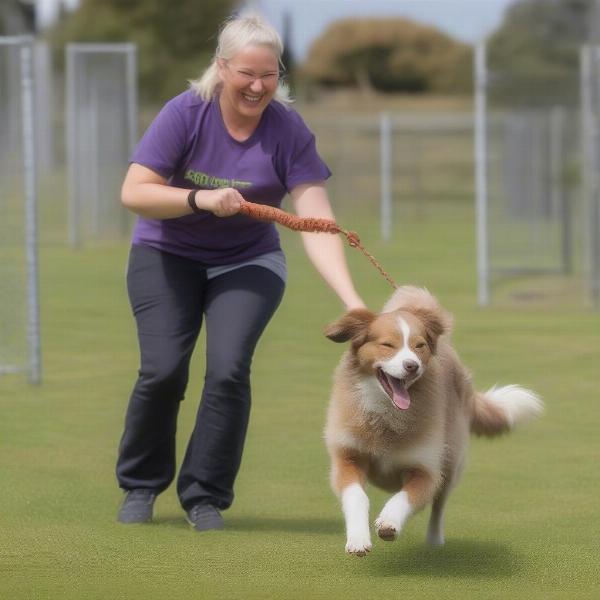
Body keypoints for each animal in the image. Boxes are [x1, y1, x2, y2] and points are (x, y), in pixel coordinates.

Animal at [324, 288, 544, 556]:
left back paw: (434, 540)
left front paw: (389, 521)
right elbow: (356, 496)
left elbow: (405, 497)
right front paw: (357, 538)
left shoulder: (426, 469)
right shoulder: (348, 456)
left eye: (419, 346)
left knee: (439, 505)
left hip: (451, 461)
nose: (412, 366)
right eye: (388, 345)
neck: (387, 414)